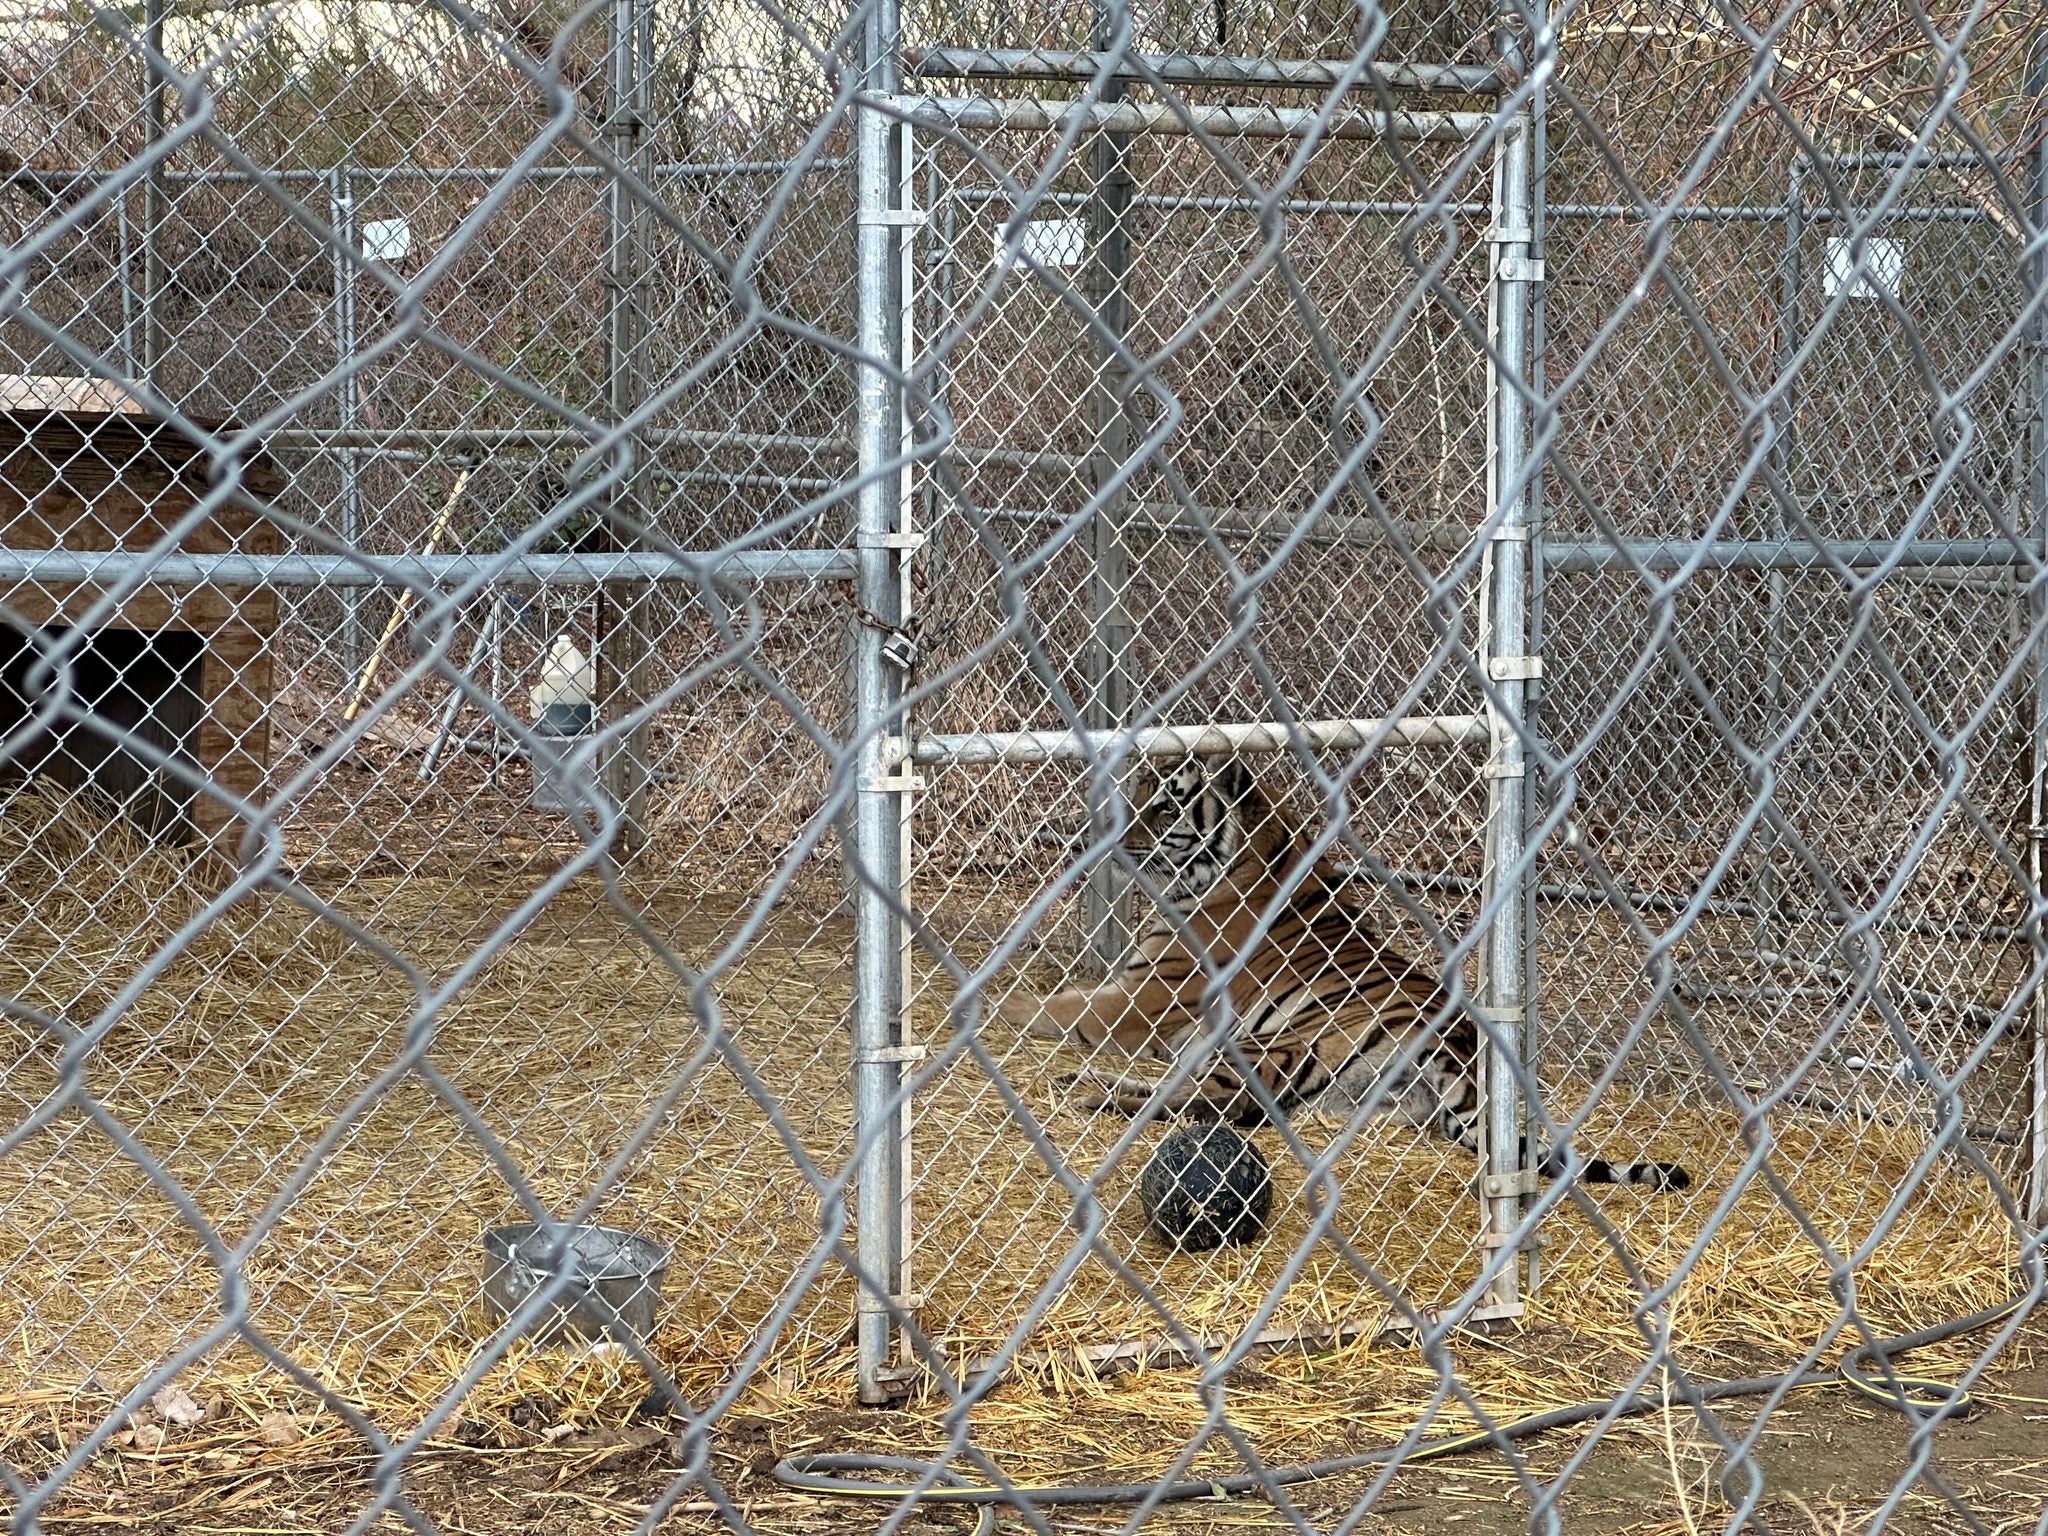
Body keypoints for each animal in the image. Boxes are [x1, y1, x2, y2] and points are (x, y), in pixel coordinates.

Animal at [996, 758, 1690, 1192]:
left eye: (1165, 805)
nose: (1109, 835)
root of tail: (1462, 1052)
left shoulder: (1145, 996)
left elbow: (1048, 1004)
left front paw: (990, 1005)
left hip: (1275, 1040)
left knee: (1229, 1104)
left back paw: (1089, 1090)